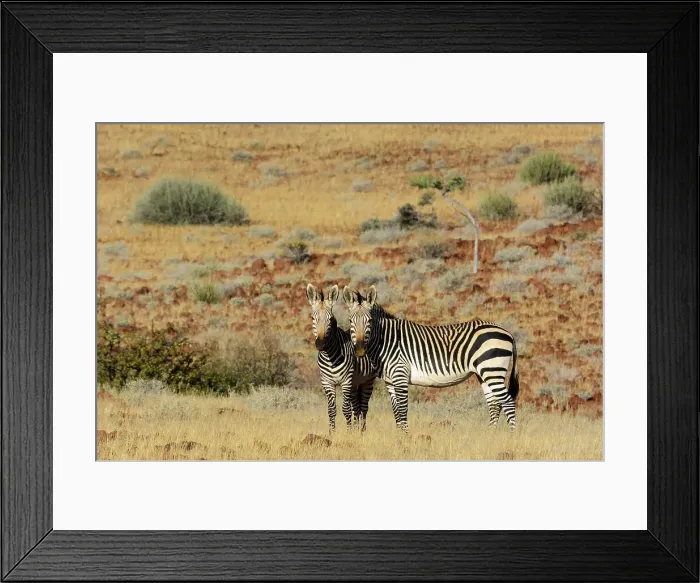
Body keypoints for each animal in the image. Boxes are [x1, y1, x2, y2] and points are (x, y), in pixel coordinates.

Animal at [306, 283, 376, 432]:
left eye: (331, 319)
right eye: (313, 318)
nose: (321, 344)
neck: (330, 356)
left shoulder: (346, 382)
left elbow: (345, 409)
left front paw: (348, 432)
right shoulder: (327, 382)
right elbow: (332, 410)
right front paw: (332, 432)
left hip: (367, 381)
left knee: (364, 407)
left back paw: (362, 431)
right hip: (355, 383)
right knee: (357, 407)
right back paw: (356, 430)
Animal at [342, 285, 519, 433]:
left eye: (370, 321)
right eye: (350, 321)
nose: (359, 350)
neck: (386, 340)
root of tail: (508, 333)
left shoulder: (400, 375)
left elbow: (403, 410)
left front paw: (405, 438)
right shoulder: (390, 381)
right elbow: (396, 412)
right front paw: (400, 437)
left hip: (492, 370)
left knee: (508, 402)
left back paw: (510, 436)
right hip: (484, 373)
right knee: (495, 404)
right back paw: (491, 435)